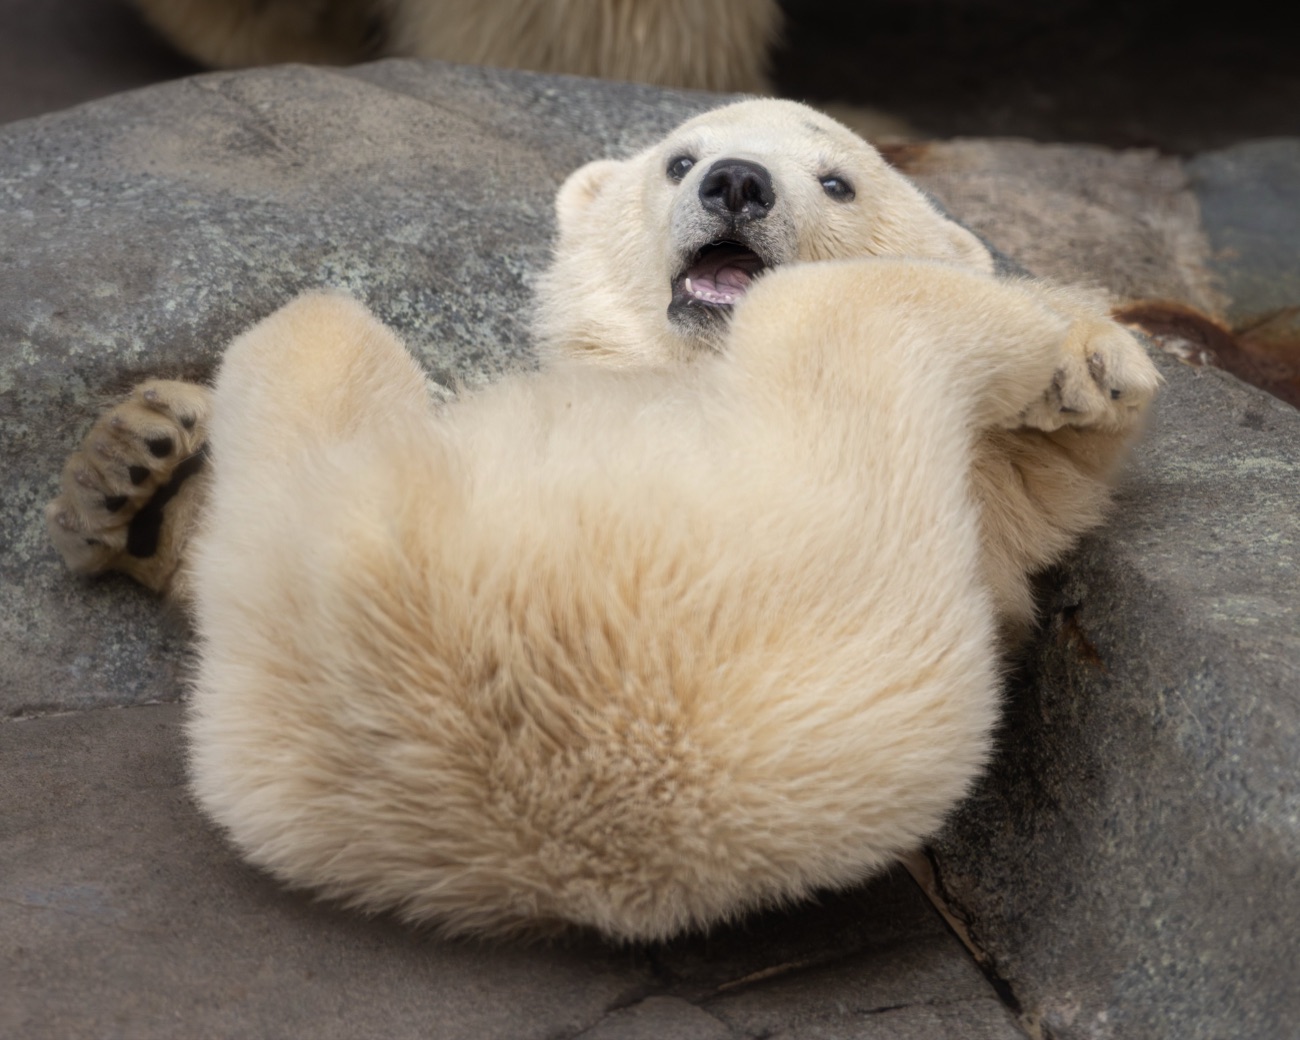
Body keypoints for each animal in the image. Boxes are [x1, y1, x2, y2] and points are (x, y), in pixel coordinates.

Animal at [45, 99, 1159, 941]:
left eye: (839, 181)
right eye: (681, 158)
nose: (737, 183)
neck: (670, 369)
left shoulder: (980, 494)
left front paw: (1087, 354)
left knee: (314, 330)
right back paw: (137, 470)